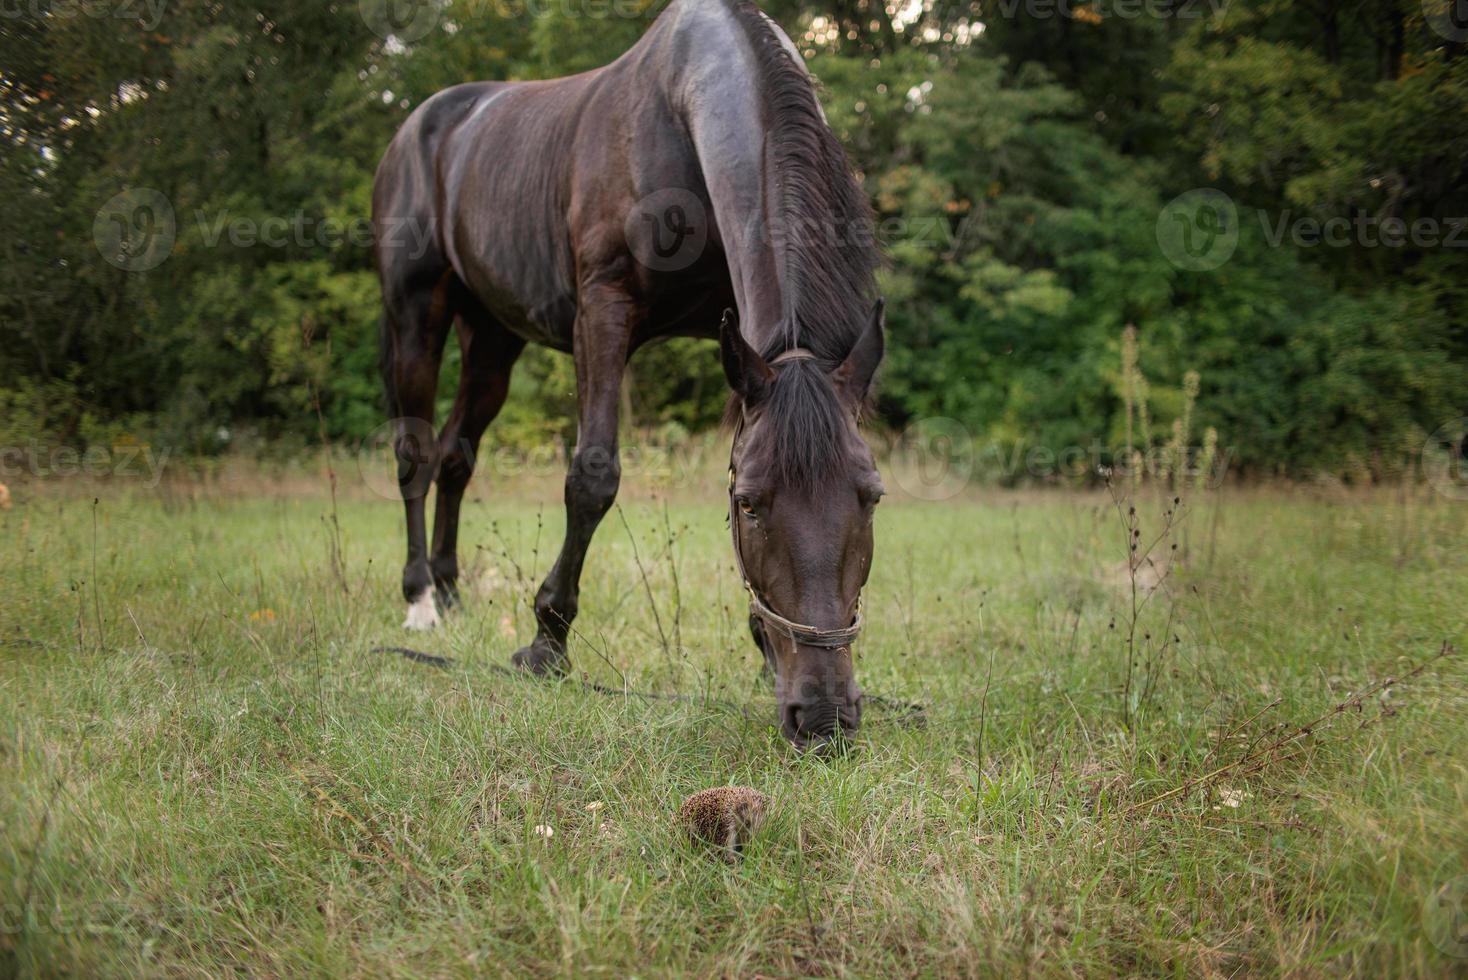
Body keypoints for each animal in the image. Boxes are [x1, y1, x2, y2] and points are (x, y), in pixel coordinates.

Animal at [372, 0, 886, 745]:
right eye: (750, 504)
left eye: (871, 497)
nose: (822, 716)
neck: (678, 112)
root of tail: (420, 125)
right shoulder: (603, 312)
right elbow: (592, 477)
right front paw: (546, 641)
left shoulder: (735, 342)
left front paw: (763, 649)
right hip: (417, 314)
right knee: (414, 454)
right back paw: (420, 601)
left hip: (493, 338)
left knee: (456, 456)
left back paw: (450, 588)